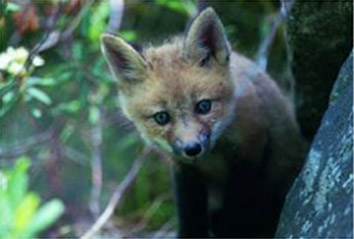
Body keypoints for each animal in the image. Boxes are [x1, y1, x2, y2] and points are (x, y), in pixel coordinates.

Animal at [101, 7, 306, 237]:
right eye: (161, 117)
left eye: (204, 106)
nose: (192, 148)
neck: (214, 157)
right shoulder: (183, 170)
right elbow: (190, 215)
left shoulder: (251, 152)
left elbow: (239, 201)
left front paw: (229, 225)